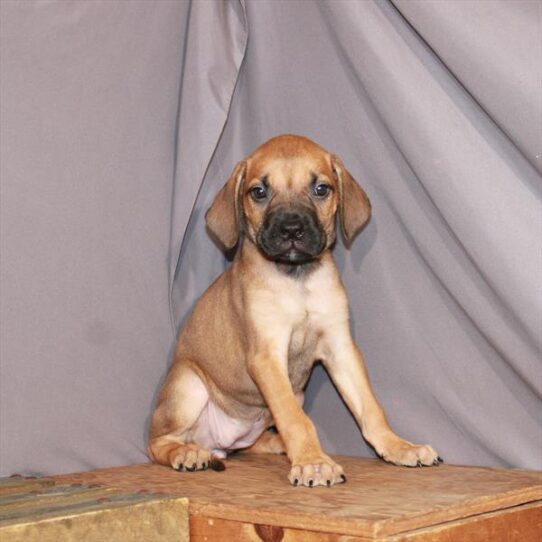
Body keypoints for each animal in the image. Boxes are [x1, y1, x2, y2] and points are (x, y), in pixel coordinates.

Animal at [149, 133, 442, 488]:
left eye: (321, 189)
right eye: (259, 192)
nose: (291, 230)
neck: (297, 279)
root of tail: (217, 443)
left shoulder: (341, 348)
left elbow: (369, 407)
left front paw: (398, 446)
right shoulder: (267, 355)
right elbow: (295, 418)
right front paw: (313, 463)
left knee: (248, 444)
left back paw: (275, 444)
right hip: (187, 385)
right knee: (158, 442)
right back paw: (187, 453)